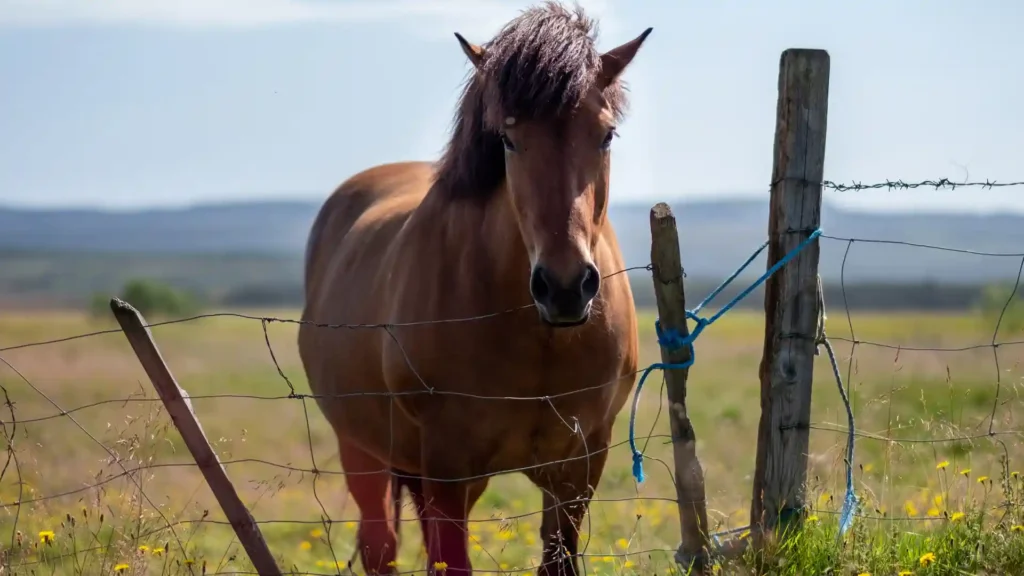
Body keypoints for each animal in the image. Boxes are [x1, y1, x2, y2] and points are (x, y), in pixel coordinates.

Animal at [299, 3, 647, 569]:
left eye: (606, 135)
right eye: (508, 139)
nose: (565, 287)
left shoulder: (579, 467)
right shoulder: (447, 467)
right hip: (364, 452)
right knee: (380, 546)